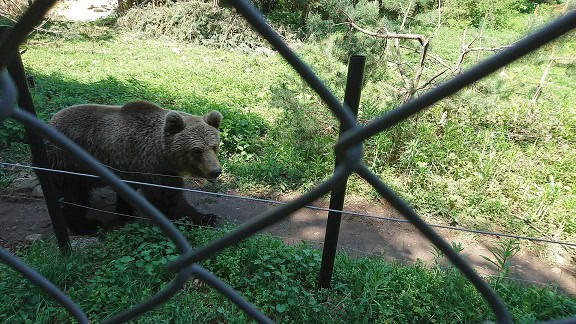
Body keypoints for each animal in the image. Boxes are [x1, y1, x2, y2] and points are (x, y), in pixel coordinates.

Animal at [45, 100, 223, 234]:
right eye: (197, 150)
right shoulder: (155, 169)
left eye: (214, 146)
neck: (164, 155)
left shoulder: (131, 168)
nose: (216, 171)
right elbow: (168, 198)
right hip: (68, 163)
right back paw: (86, 225)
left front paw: (126, 212)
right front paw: (207, 218)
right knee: (74, 197)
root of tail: (50, 122)